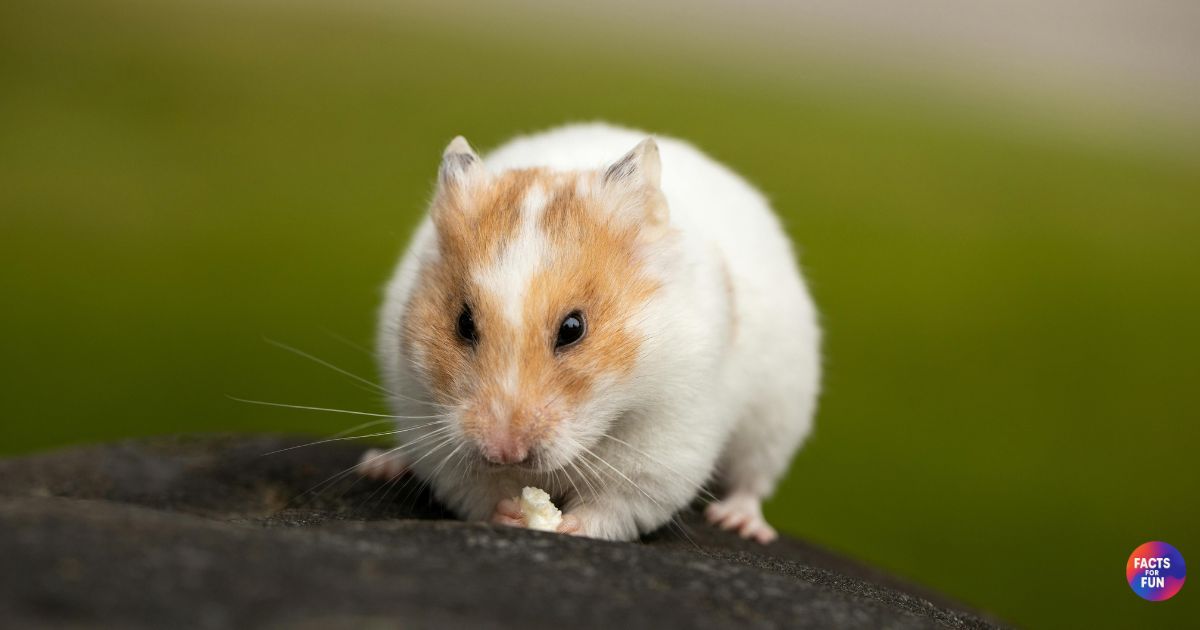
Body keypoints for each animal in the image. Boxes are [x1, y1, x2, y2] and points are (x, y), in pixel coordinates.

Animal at [361, 123, 820, 543]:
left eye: (573, 328)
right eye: (463, 323)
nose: (505, 452)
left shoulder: (664, 447)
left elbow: (614, 505)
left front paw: (567, 526)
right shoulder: (433, 428)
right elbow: (476, 490)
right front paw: (512, 512)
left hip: (778, 417)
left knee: (752, 479)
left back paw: (740, 523)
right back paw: (381, 465)